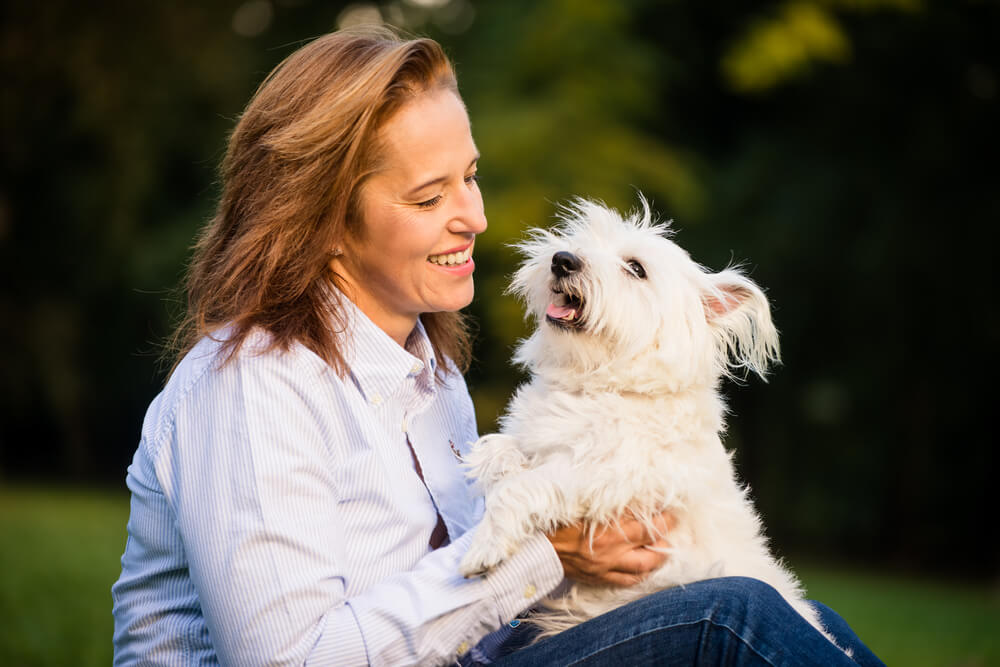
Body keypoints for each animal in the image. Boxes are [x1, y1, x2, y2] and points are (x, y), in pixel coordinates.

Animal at [458, 194, 836, 648]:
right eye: (580, 239)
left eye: (636, 268)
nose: (563, 260)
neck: (600, 385)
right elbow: (498, 450)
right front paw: (499, 471)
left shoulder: (612, 476)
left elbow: (522, 487)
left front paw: (485, 546)